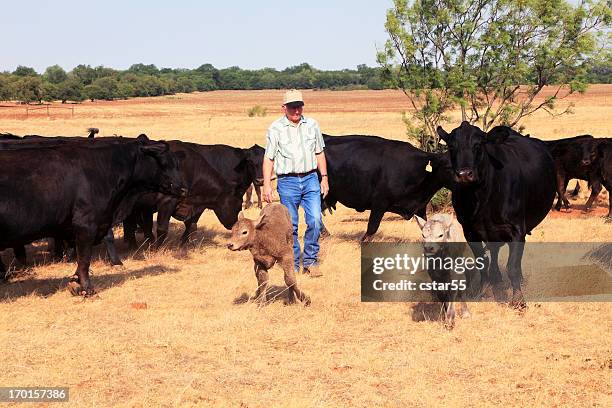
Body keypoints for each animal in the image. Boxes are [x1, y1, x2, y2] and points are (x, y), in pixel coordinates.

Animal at [0, 136, 184, 294]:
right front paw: (86, 288)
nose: (183, 188)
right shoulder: (86, 224)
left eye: (177, 163)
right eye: (163, 161)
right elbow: (84, 259)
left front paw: (75, 282)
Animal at [436, 122, 560, 308]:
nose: (464, 174)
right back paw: (496, 278)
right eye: (451, 146)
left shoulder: (516, 230)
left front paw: (518, 299)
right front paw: (484, 291)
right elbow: (482, 261)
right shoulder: (470, 231)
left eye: (478, 145)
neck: (482, 198)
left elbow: (512, 266)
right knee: (493, 252)